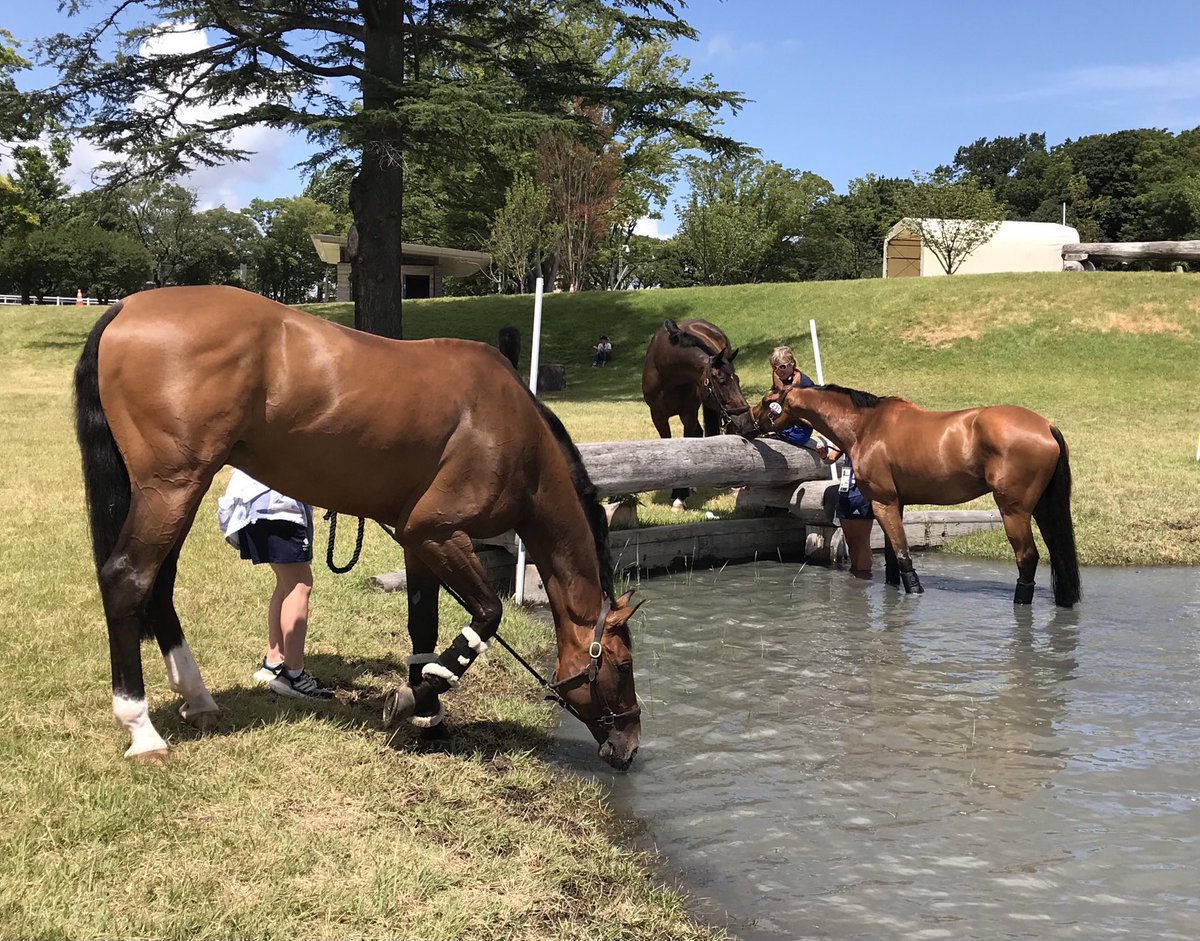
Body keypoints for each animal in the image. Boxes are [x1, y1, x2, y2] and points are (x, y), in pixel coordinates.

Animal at [73, 285, 642, 769]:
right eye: (622, 663)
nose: (630, 744)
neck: (514, 433)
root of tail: (126, 307)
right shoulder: (436, 532)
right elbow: (486, 615)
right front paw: (414, 697)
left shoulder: (418, 541)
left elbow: (423, 625)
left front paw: (427, 712)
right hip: (173, 487)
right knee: (128, 580)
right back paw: (141, 728)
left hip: (171, 494)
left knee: (159, 587)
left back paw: (197, 698)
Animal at [640, 318, 752, 509]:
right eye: (721, 381)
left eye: (737, 380)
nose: (744, 418)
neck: (665, 369)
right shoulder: (658, 416)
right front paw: (677, 492)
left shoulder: (688, 413)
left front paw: (680, 497)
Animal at [750, 384, 1081, 607]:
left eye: (767, 401)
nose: (743, 420)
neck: (866, 426)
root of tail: (1046, 426)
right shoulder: (895, 504)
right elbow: (892, 561)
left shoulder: (882, 503)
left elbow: (903, 555)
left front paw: (915, 592)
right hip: (1042, 508)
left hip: (1014, 511)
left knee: (1027, 557)